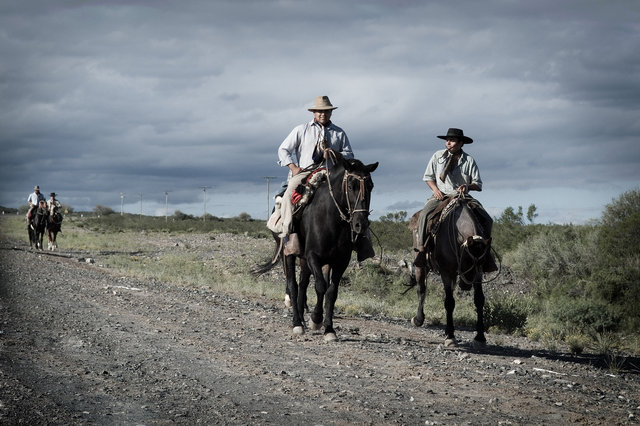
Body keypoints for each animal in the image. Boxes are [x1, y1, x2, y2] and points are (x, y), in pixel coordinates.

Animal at [254, 151, 378, 342]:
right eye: (351, 185)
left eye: (370, 186)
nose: (360, 224)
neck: (331, 219)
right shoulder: (313, 256)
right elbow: (320, 286)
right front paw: (316, 320)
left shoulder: (340, 261)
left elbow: (331, 292)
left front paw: (328, 328)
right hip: (289, 254)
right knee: (293, 285)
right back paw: (297, 323)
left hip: (304, 260)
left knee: (303, 285)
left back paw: (302, 316)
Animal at [408, 195, 492, 348]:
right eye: (466, 258)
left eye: (482, 261)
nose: (466, 285)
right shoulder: (446, 272)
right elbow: (449, 302)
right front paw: (450, 337)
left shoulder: (477, 274)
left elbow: (479, 300)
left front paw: (480, 338)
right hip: (420, 266)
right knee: (421, 289)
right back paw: (418, 319)